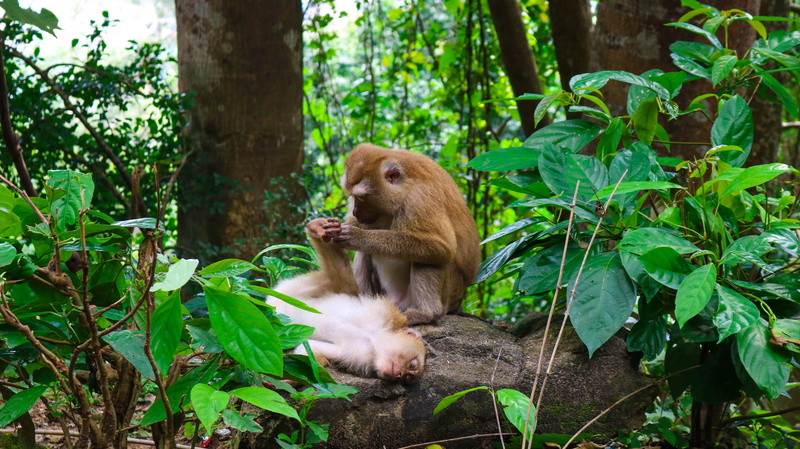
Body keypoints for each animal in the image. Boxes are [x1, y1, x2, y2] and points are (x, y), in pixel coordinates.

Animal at [266, 218, 426, 384]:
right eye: (412, 364)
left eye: (407, 377)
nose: (399, 374)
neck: (372, 339)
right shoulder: (387, 313)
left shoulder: (355, 355)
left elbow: (309, 348)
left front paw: (294, 379)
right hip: (287, 293)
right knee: (339, 281)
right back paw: (317, 229)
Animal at [321, 143, 481, 325]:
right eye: (352, 196)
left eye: (361, 197)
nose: (355, 211)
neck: (405, 186)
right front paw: (333, 226)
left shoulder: (420, 199)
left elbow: (441, 246)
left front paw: (357, 236)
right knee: (365, 253)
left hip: (449, 294)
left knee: (432, 258)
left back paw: (426, 313)